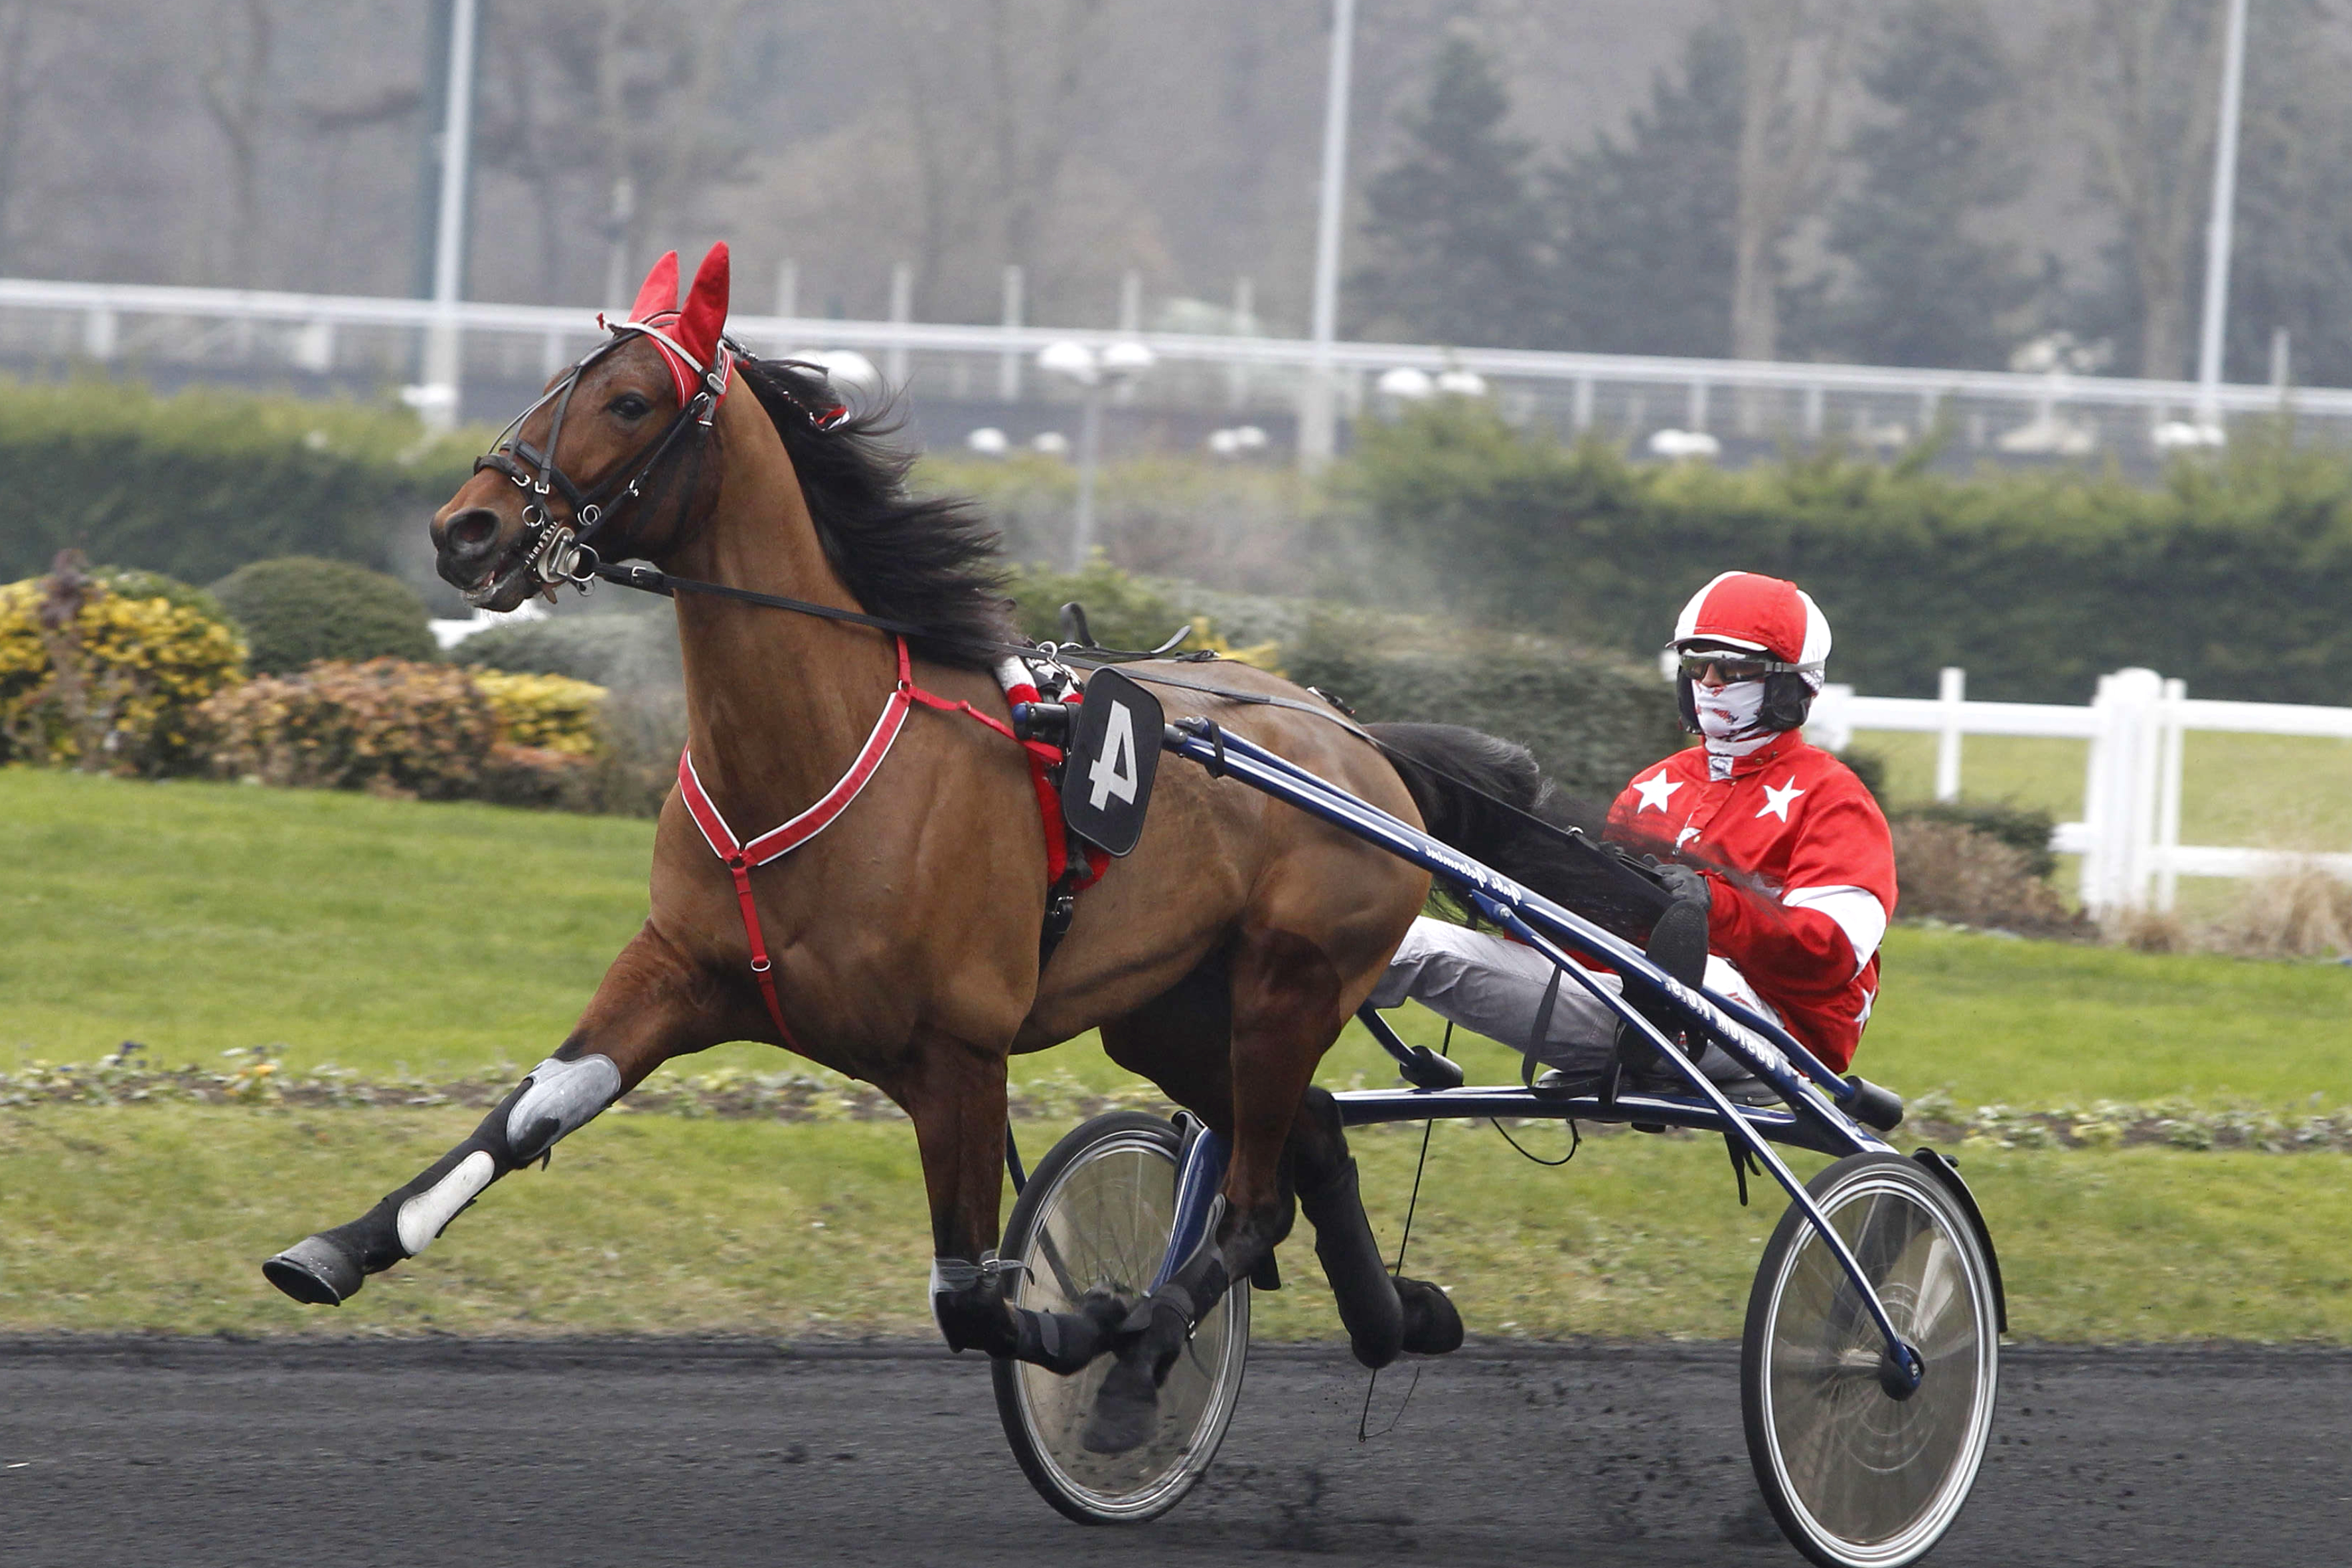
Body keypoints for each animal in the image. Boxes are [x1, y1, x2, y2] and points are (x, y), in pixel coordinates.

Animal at [262, 242, 1618, 1448]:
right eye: (551, 379)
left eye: (629, 399)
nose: (466, 530)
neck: (814, 748)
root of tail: (1358, 742)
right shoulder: (677, 970)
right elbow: (529, 1113)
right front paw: (338, 1246)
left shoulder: (957, 1051)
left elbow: (970, 1294)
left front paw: (1087, 1325)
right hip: (1175, 1009)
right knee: (1314, 1142)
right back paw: (1397, 1317)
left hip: (1292, 983)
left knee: (1247, 1205)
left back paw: (1141, 1365)